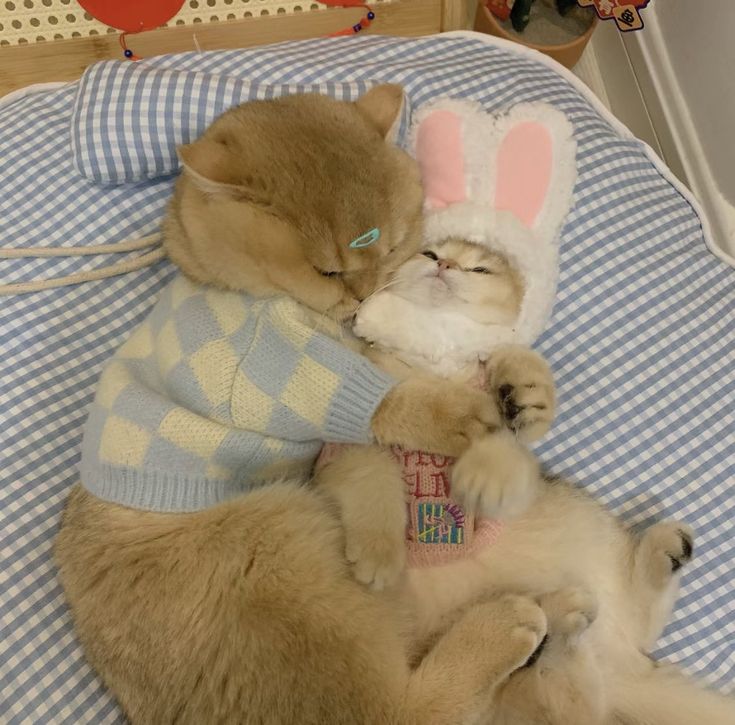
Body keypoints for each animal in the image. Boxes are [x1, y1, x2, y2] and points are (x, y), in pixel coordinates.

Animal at [54, 86, 548, 724]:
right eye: (327, 270)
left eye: (392, 246)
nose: (362, 295)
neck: (247, 294)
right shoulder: (287, 375)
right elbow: (385, 402)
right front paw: (462, 413)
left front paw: (520, 392)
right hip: (282, 542)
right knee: (403, 710)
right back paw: (509, 623)